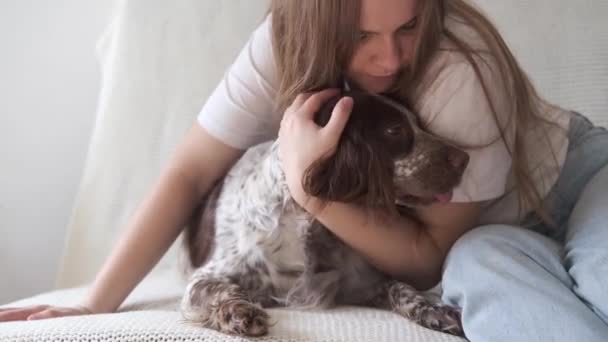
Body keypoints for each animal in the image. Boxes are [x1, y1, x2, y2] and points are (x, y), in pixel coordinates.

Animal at [178, 89, 468, 336]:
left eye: (418, 124)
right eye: (394, 130)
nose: (465, 158)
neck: (308, 225)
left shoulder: (360, 283)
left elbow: (402, 287)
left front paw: (434, 310)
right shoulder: (209, 275)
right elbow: (218, 290)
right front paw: (240, 312)